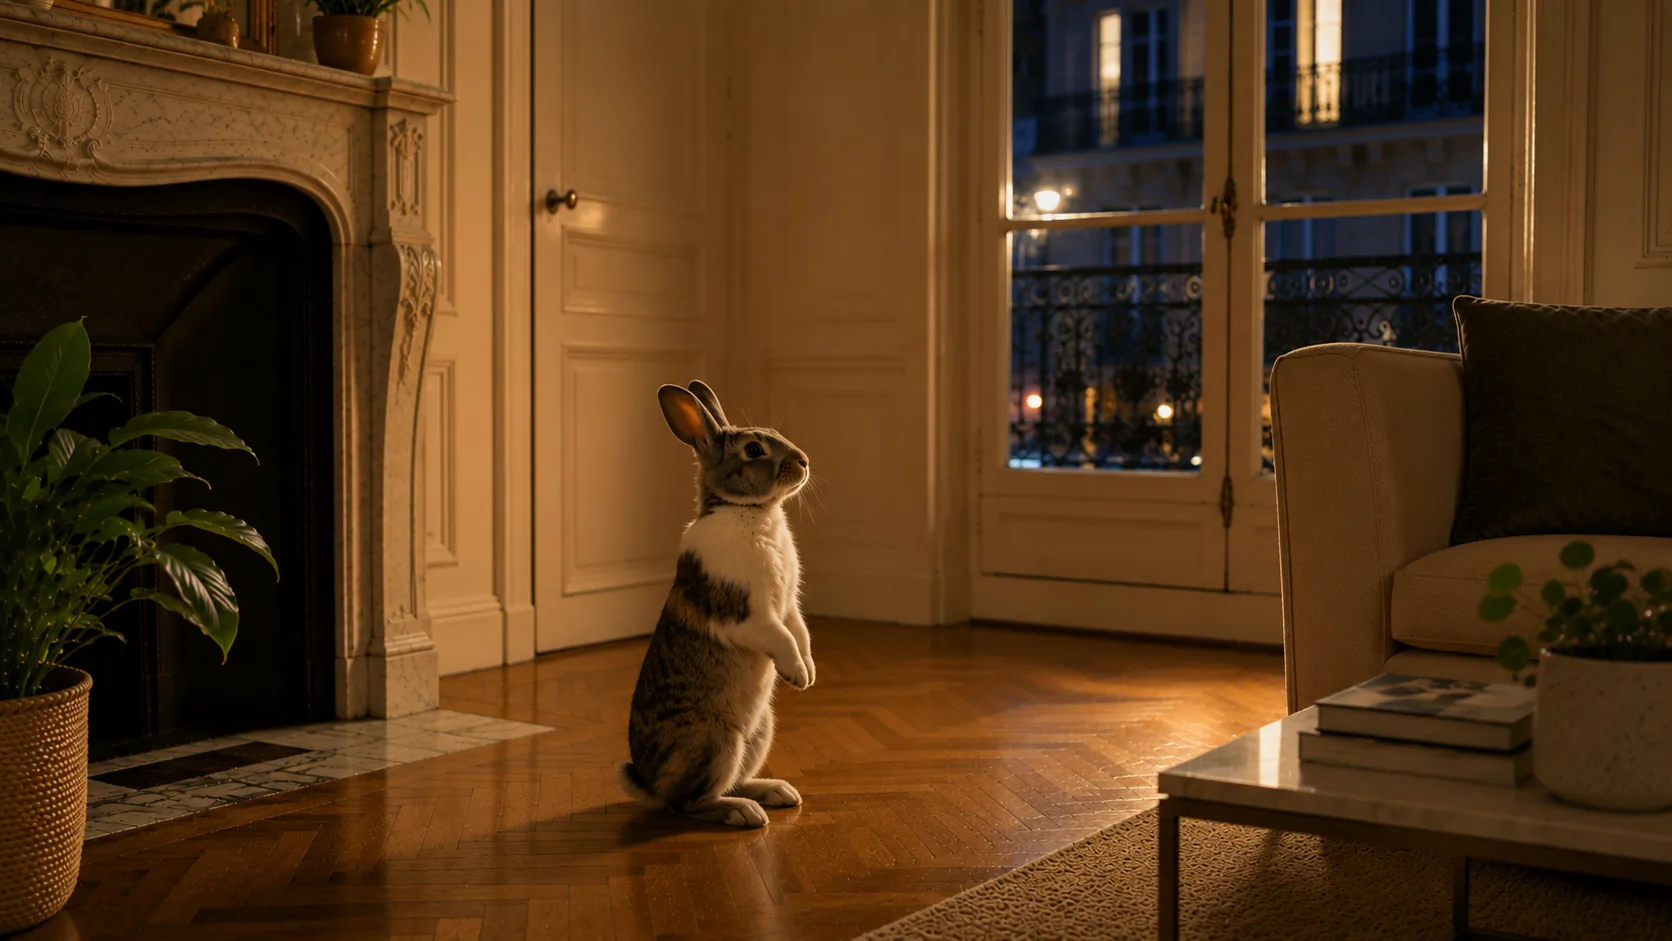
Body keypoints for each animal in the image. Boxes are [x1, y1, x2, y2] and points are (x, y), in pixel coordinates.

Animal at [616, 380, 815, 829]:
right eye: (754, 450)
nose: (804, 461)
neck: (749, 511)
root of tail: (650, 783)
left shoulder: (789, 605)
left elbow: (800, 632)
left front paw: (810, 673)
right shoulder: (748, 613)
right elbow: (780, 636)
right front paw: (797, 675)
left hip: (758, 733)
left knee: (731, 781)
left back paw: (776, 792)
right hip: (716, 741)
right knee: (690, 802)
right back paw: (743, 813)